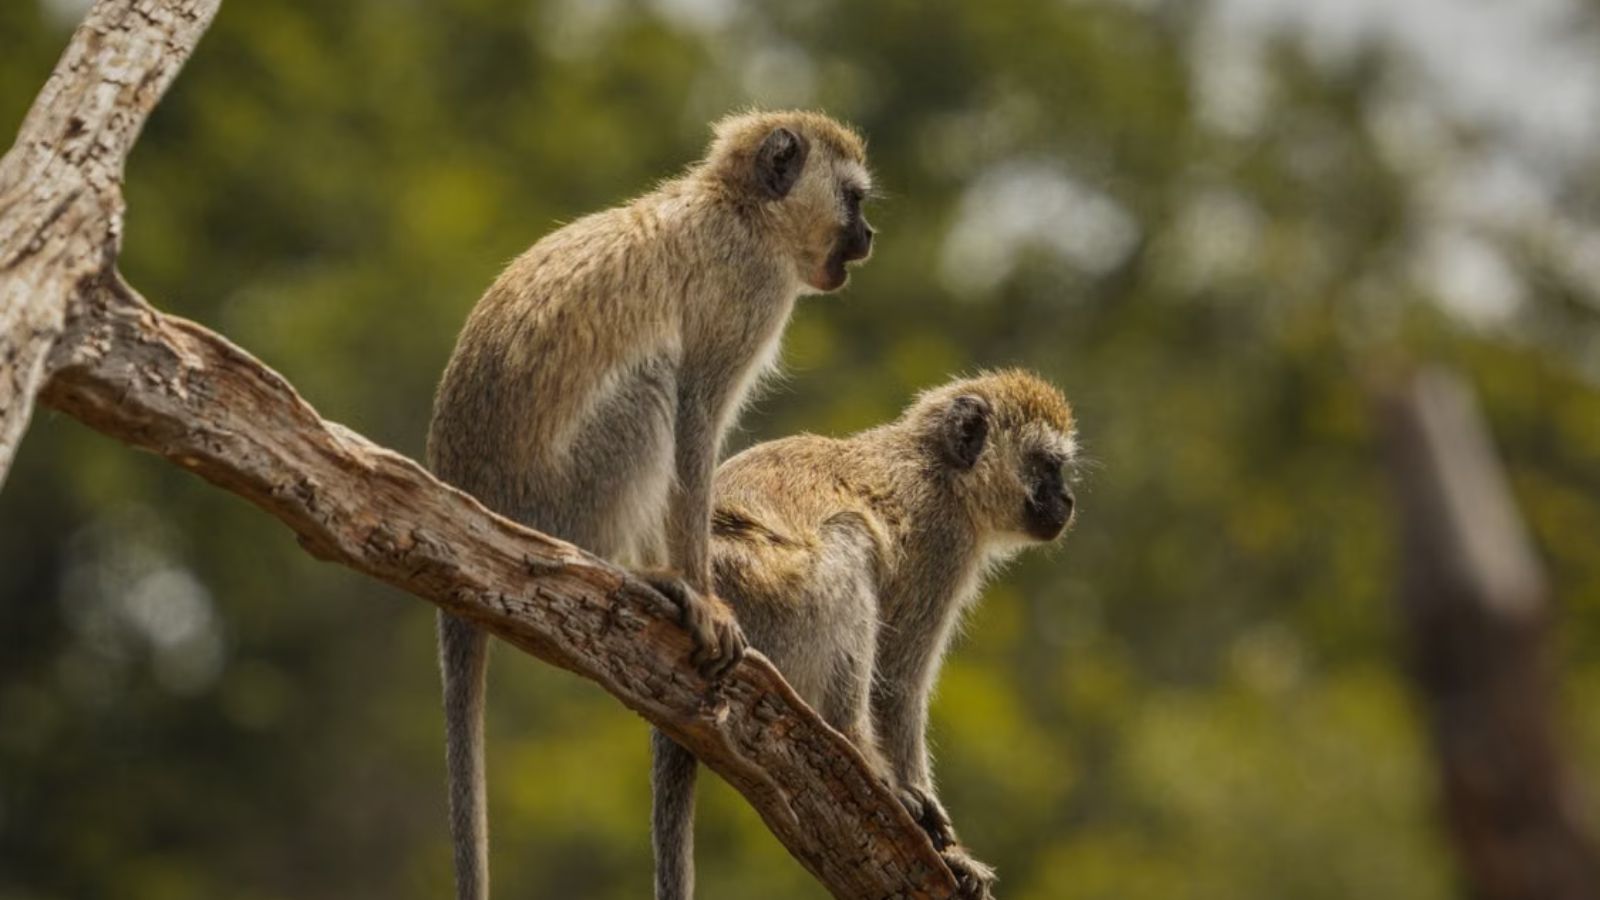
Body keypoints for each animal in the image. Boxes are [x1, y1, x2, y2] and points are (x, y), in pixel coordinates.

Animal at [425, 109, 875, 900]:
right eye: (853, 199)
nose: (870, 235)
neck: (741, 210)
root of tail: (466, 495)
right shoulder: (749, 294)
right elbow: (694, 422)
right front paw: (704, 594)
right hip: (560, 502)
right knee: (653, 379)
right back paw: (628, 572)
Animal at [651, 369, 1079, 900]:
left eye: (1061, 469)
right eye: (1046, 465)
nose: (1067, 500)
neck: (941, 470)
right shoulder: (943, 539)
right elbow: (897, 684)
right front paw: (950, 853)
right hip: (771, 599)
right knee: (851, 539)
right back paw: (856, 745)